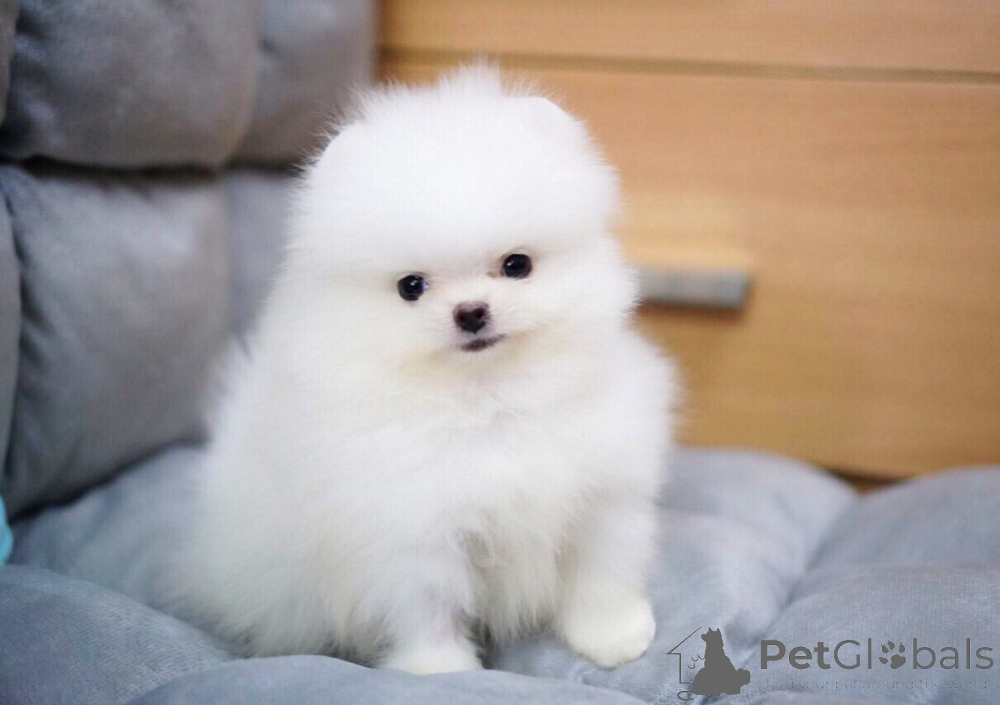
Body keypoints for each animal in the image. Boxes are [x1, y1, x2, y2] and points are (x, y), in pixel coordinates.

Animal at [178, 65, 676, 674]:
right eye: (410, 287)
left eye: (517, 264)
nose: (471, 312)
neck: (488, 401)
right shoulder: (412, 536)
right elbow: (427, 606)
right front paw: (440, 672)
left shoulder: (603, 495)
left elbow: (602, 570)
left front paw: (612, 635)